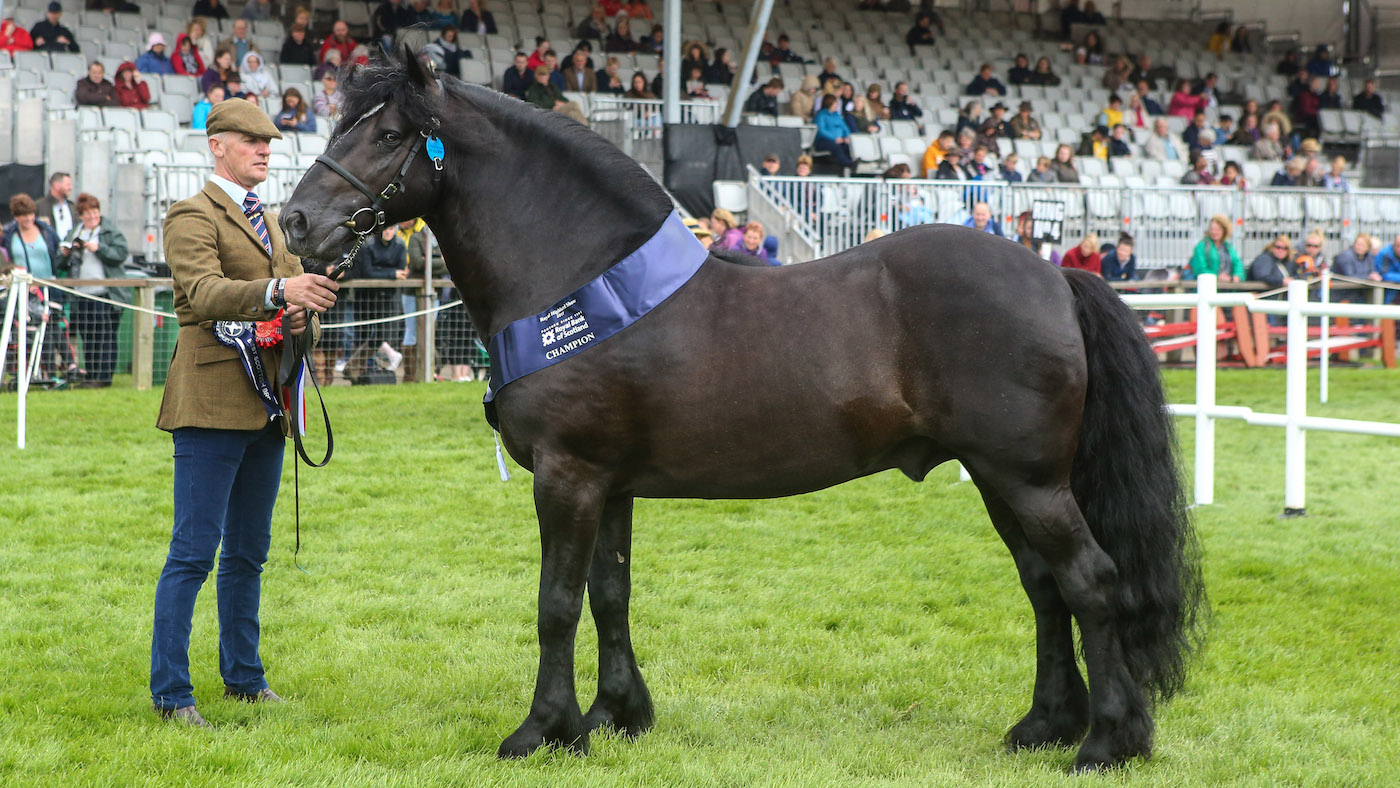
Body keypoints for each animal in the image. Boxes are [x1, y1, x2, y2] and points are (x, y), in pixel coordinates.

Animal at [280, 48, 1205, 771]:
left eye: (388, 134)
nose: (294, 222)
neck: (580, 277)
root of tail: (1055, 274)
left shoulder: (567, 475)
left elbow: (557, 603)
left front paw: (542, 730)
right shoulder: (610, 484)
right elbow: (610, 595)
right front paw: (617, 717)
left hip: (1028, 480)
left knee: (1089, 583)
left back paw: (1106, 744)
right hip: (999, 479)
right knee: (1047, 591)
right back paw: (1044, 727)